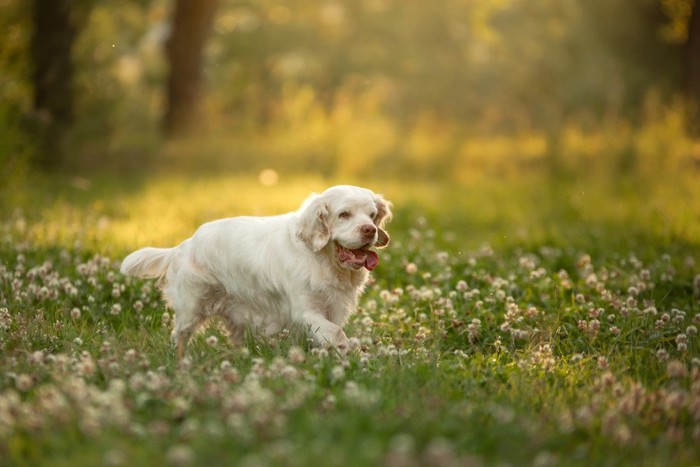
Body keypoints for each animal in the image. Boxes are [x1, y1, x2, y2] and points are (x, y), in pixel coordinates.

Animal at [121, 185, 394, 356]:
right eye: (344, 214)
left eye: (372, 215)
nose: (370, 230)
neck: (323, 260)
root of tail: (185, 245)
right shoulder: (305, 311)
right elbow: (336, 333)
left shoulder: (333, 308)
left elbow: (330, 332)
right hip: (192, 309)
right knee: (179, 335)